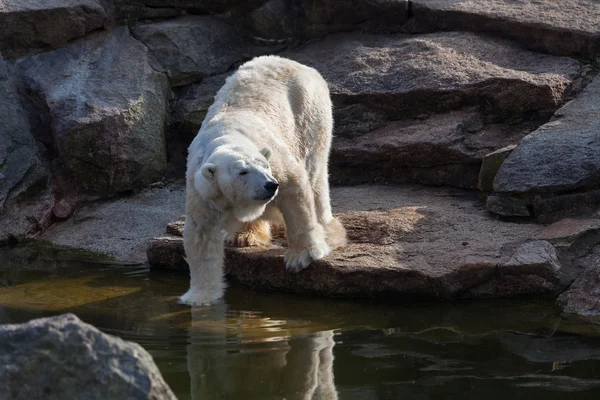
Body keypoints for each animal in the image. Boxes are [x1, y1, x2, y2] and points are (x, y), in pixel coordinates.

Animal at [179, 55, 346, 306]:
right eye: (242, 172)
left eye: (263, 165)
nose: (270, 185)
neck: (225, 135)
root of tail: (295, 63)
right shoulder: (203, 189)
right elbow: (201, 235)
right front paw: (199, 298)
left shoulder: (276, 159)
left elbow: (295, 187)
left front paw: (301, 257)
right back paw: (245, 236)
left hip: (308, 113)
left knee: (314, 173)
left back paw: (329, 231)